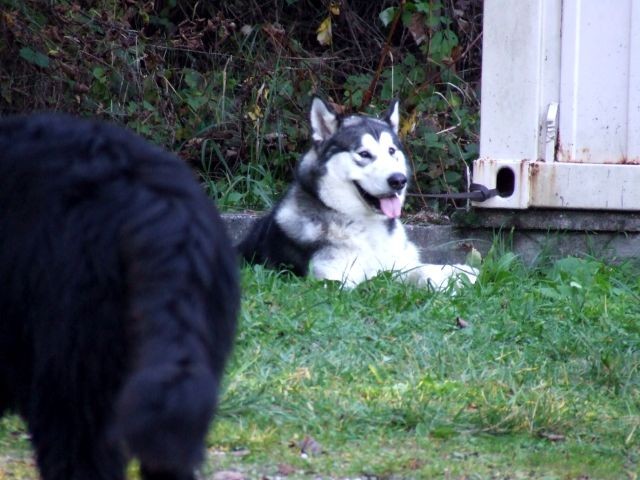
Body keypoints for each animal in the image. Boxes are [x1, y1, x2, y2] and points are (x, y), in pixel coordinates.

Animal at [238, 95, 478, 286]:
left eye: (391, 151)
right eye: (364, 154)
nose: (398, 180)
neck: (367, 226)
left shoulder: (399, 260)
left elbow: (421, 268)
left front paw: (459, 272)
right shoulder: (333, 280)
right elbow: (380, 281)